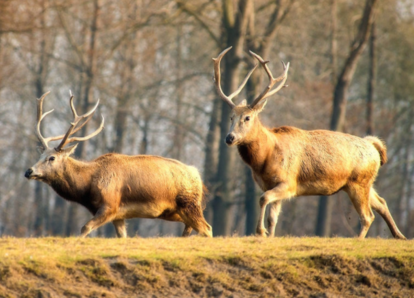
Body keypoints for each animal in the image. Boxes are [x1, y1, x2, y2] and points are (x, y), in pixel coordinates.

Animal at [25, 92, 213, 239]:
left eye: (52, 158)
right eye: (40, 155)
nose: (28, 171)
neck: (88, 186)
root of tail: (198, 176)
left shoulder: (110, 205)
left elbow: (85, 227)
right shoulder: (118, 215)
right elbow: (122, 236)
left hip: (189, 204)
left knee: (207, 228)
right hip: (175, 211)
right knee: (191, 228)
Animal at [215, 48, 406, 240]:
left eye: (247, 117)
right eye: (231, 117)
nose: (229, 138)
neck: (265, 159)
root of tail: (373, 146)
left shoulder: (289, 182)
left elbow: (263, 199)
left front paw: (260, 231)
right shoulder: (271, 185)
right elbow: (272, 218)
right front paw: (269, 235)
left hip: (358, 182)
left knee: (367, 216)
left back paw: (359, 240)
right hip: (364, 183)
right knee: (382, 203)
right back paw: (400, 236)